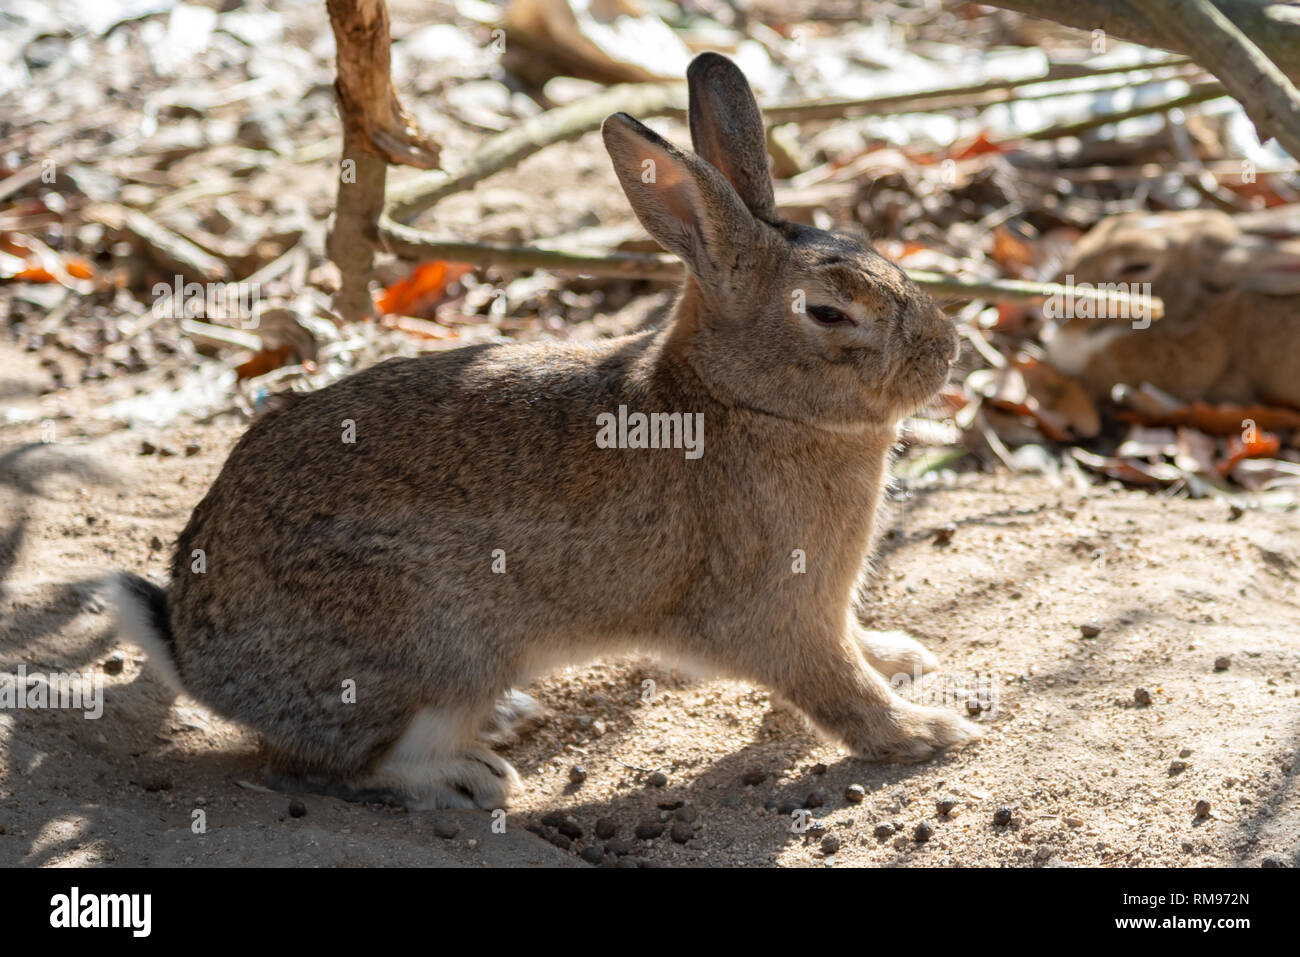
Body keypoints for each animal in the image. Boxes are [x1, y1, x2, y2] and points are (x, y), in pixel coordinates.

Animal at [109, 52, 977, 811]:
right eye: (828, 313)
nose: (946, 351)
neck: (740, 398)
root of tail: (197, 653)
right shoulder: (781, 613)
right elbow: (836, 687)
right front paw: (928, 732)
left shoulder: (824, 605)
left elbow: (855, 646)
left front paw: (902, 656)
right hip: (434, 646)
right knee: (339, 763)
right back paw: (471, 775)